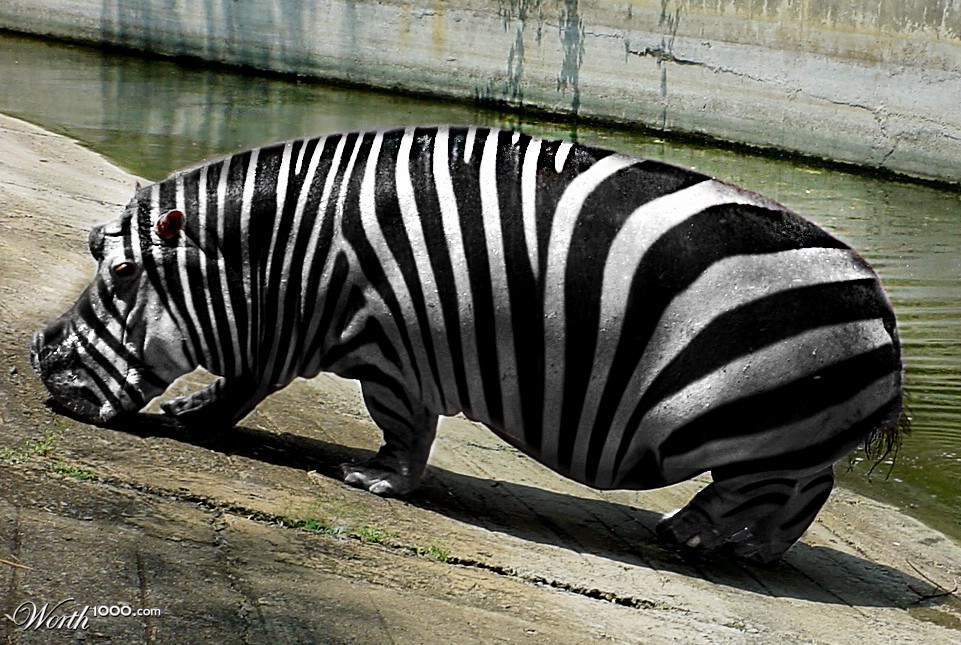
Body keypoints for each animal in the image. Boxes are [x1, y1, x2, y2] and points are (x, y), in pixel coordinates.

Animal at [31, 125, 904, 563]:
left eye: (120, 269)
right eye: (95, 247)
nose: (38, 351)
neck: (279, 250)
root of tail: (881, 305)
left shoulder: (390, 351)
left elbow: (399, 428)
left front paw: (368, 482)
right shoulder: (273, 334)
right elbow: (238, 383)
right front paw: (189, 415)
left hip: (763, 436)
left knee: (768, 493)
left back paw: (688, 537)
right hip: (786, 441)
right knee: (799, 500)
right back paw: (731, 548)